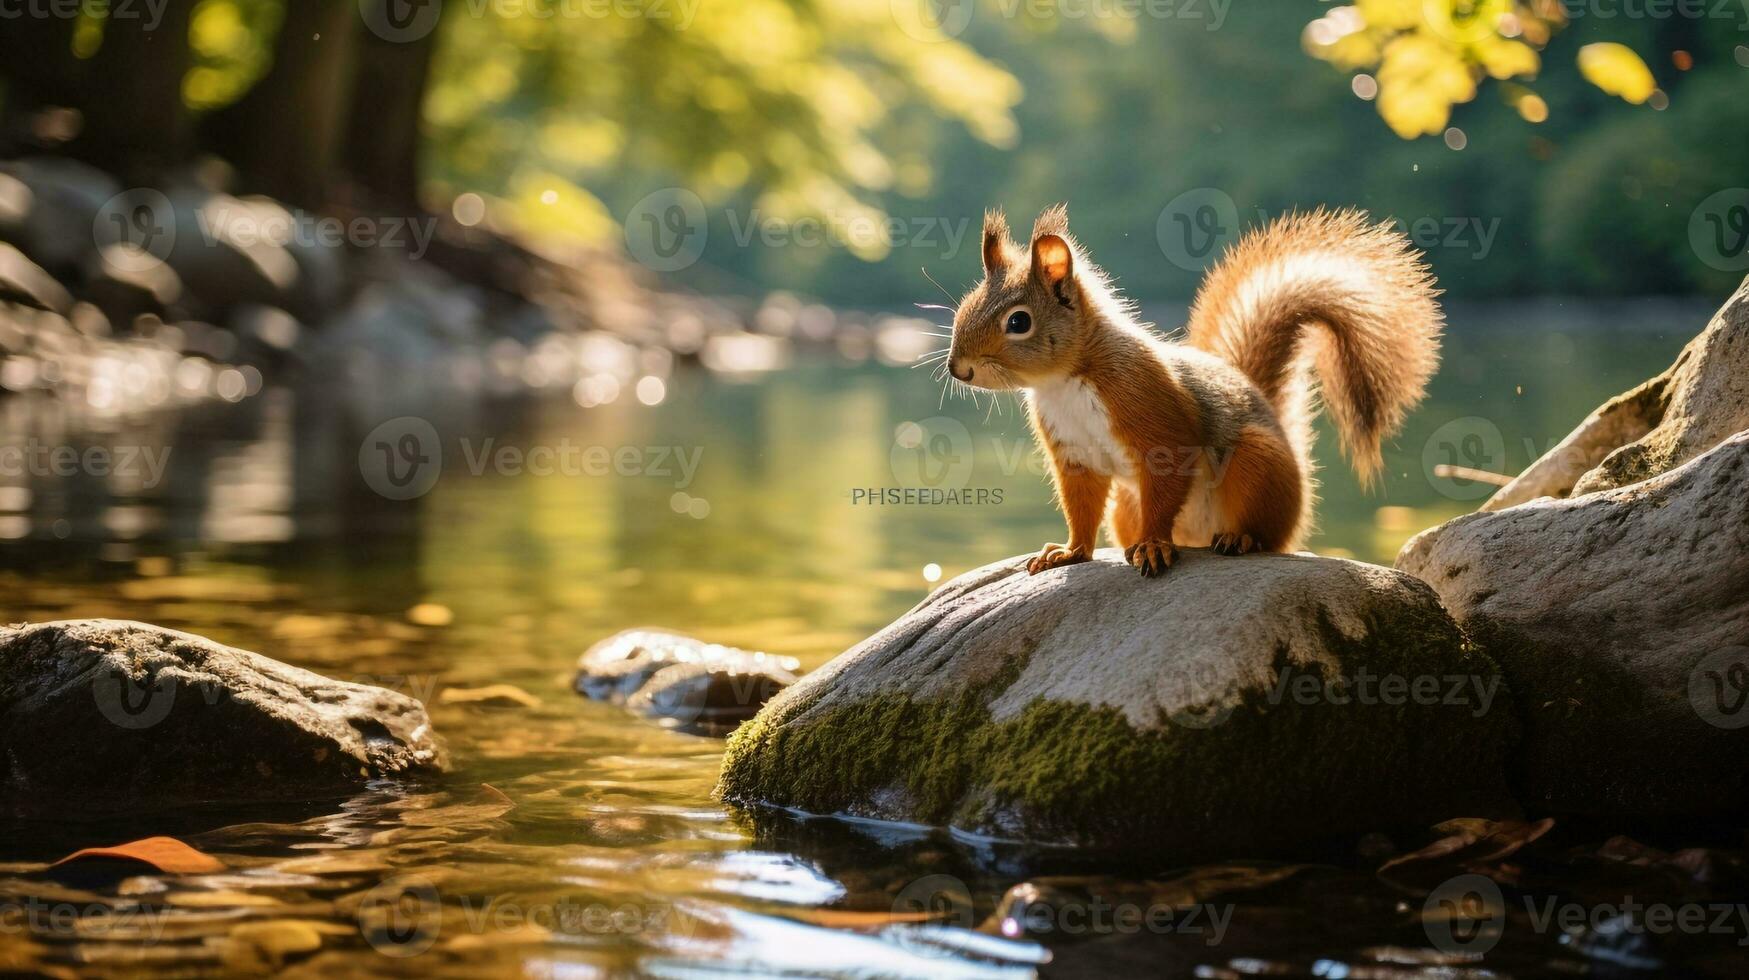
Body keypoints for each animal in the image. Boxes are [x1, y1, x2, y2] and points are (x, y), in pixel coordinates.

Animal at [951, 204, 1441, 574]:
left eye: (1019, 322)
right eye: (965, 305)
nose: (958, 369)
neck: (1064, 382)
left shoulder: (1153, 416)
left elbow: (1167, 477)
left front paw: (1152, 544)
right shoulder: (1074, 453)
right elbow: (1081, 505)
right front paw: (1070, 552)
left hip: (1258, 462)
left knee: (1267, 533)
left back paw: (1240, 538)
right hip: (1127, 504)